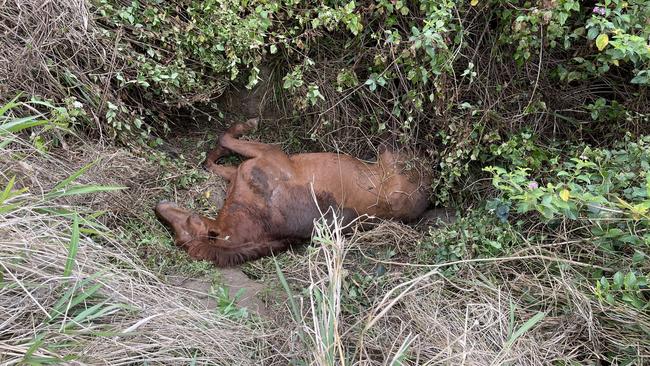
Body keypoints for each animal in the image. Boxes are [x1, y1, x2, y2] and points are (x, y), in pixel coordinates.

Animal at [154, 119, 430, 266]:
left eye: (189, 221)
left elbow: (222, 142)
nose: (158, 207)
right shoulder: (243, 170)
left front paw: (247, 125)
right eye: (177, 237)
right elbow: (212, 160)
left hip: (392, 153)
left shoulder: (268, 154)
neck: (259, 214)